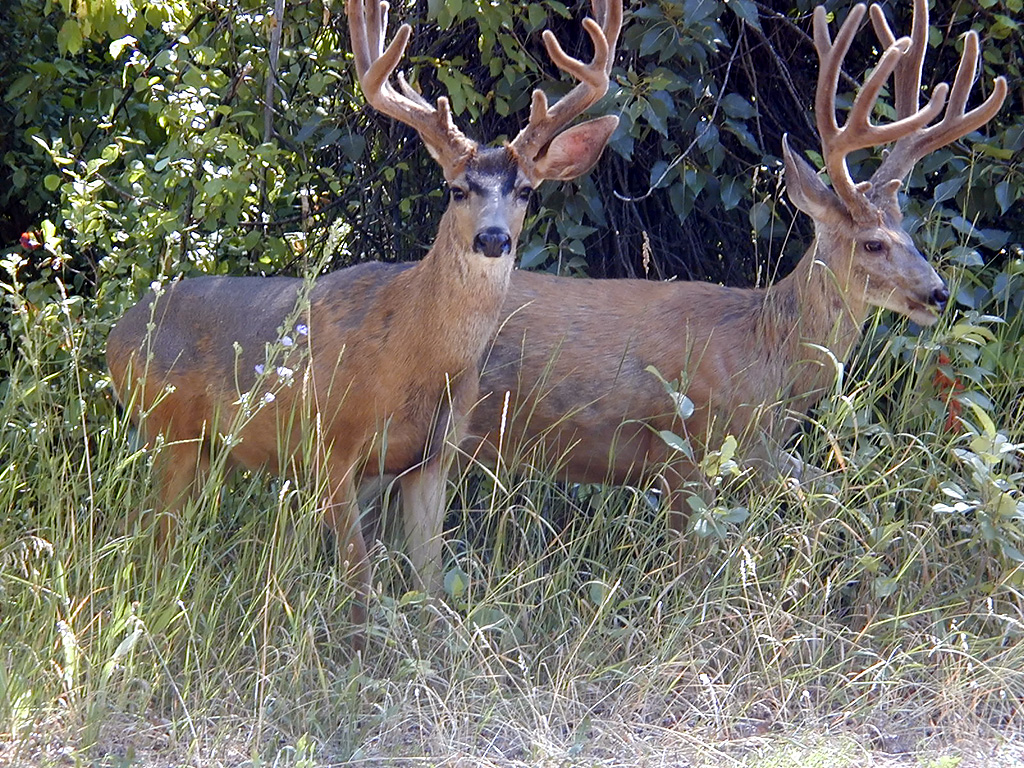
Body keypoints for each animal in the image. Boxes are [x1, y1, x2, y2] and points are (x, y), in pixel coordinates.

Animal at [106, 0, 622, 632]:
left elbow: (429, 583)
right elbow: (359, 579)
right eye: (456, 189)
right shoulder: (329, 443)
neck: (410, 360)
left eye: (526, 189)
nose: (493, 238)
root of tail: (117, 332)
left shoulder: (432, 459)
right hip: (168, 429)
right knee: (152, 538)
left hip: (203, 450)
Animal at [395, 0, 1007, 582]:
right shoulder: (689, 445)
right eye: (874, 243)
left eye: (910, 233)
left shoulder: (759, 450)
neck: (761, 350)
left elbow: (836, 494)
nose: (937, 292)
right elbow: (694, 566)